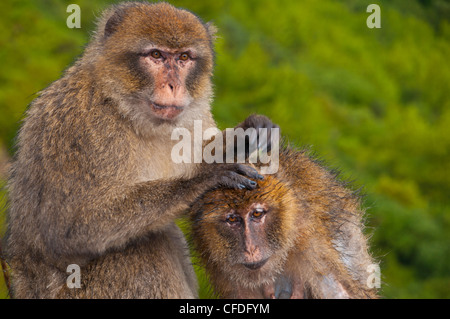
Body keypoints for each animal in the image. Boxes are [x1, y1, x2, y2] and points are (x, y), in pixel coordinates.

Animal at [5, 1, 276, 298]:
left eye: (183, 58)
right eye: (156, 55)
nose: (173, 85)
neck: (122, 106)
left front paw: (246, 135)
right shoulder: (80, 128)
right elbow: (68, 230)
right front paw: (204, 178)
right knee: (144, 247)